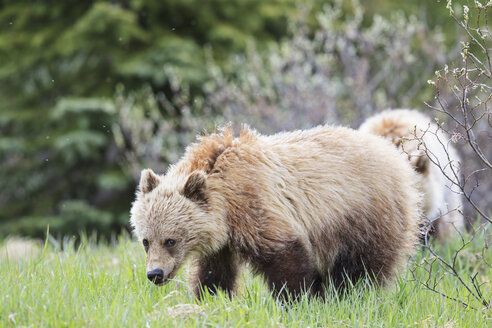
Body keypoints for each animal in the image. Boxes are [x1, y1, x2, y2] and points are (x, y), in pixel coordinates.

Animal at [129, 124, 420, 298]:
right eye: (145, 241)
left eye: (170, 240)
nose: (155, 274)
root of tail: (394, 155)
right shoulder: (220, 240)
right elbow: (215, 272)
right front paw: (212, 296)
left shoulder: (257, 203)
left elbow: (285, 256)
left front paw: (299, 299)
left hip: (365, 215)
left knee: (362, 268)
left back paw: (352, 294)